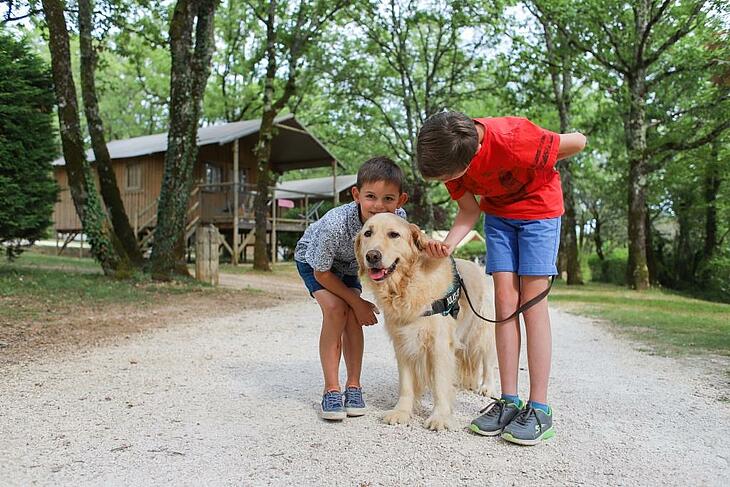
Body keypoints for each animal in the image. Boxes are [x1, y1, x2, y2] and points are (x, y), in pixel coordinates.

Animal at [352, 214, 494, 430]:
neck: (407, 285)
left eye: (394, 234)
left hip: (481, 330)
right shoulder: (402, 342)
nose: (372, 256)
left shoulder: (439, 344)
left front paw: (440, 416)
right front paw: (402, 411)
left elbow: (440, 383)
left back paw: (487, 386)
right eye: (368, 233)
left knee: (487, 359)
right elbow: (406, 384)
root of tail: (476, 266)